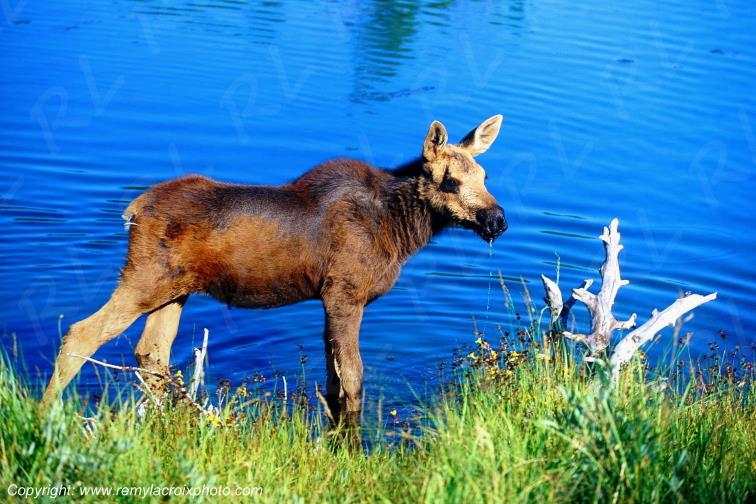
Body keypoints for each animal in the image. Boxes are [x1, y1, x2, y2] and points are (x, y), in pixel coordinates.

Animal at [41, 115, 507, 420]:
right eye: (450, 181)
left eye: (485, 175)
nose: (497, 220)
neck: (400, 229)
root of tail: (132, 210)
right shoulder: (344, 294)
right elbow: (353, 378)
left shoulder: (330, 299)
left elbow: (334, 376)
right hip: (144, 278)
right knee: (81, 332)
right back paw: (46, 415)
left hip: (174, 290)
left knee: (151, 352)